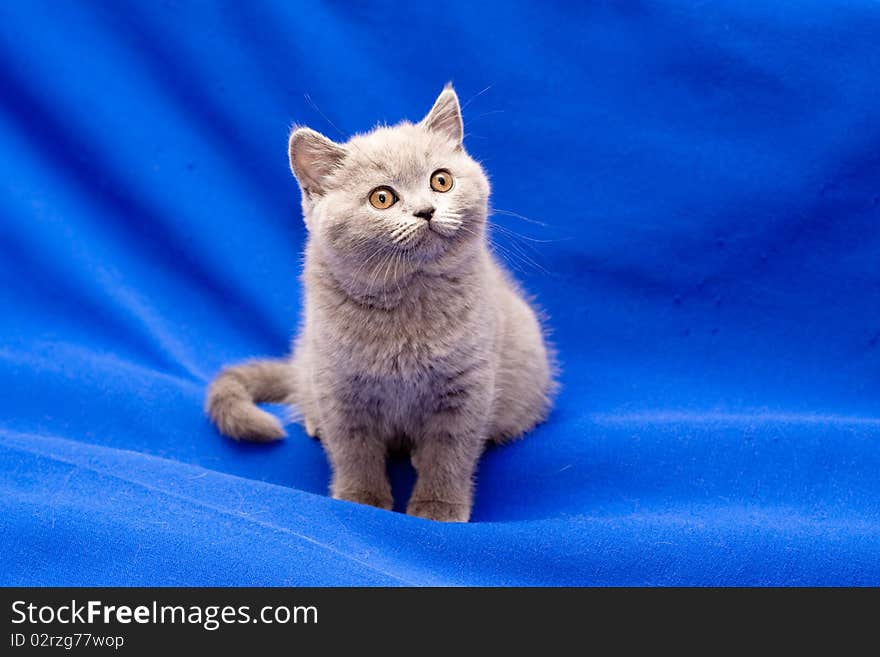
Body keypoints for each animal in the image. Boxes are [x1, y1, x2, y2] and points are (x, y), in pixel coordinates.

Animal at [205, 84, 556, 520]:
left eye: (441, 181)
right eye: (383, 198)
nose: (426, 211)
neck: (407, 303)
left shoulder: (468, 386)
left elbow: (450, 452)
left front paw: (437, 507)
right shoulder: (339, 386)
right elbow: (354, 449)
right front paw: (361, 498)